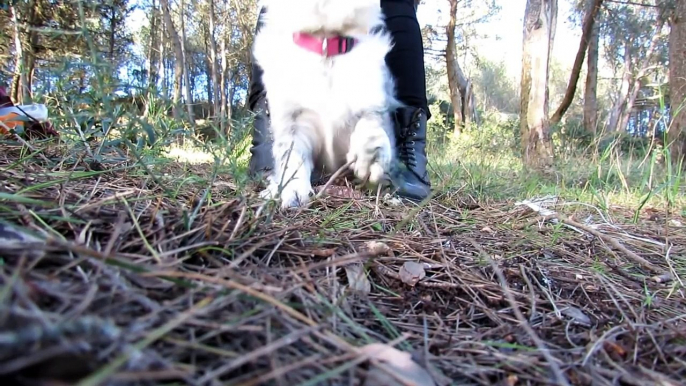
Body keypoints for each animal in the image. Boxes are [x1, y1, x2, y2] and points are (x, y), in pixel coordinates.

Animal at [253, 0, 404, 208]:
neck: (326, 44)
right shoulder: (292, 121)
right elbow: (292, 158)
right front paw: (293, 193)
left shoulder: (372, 98)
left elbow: (371, 125)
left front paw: (369, 155)